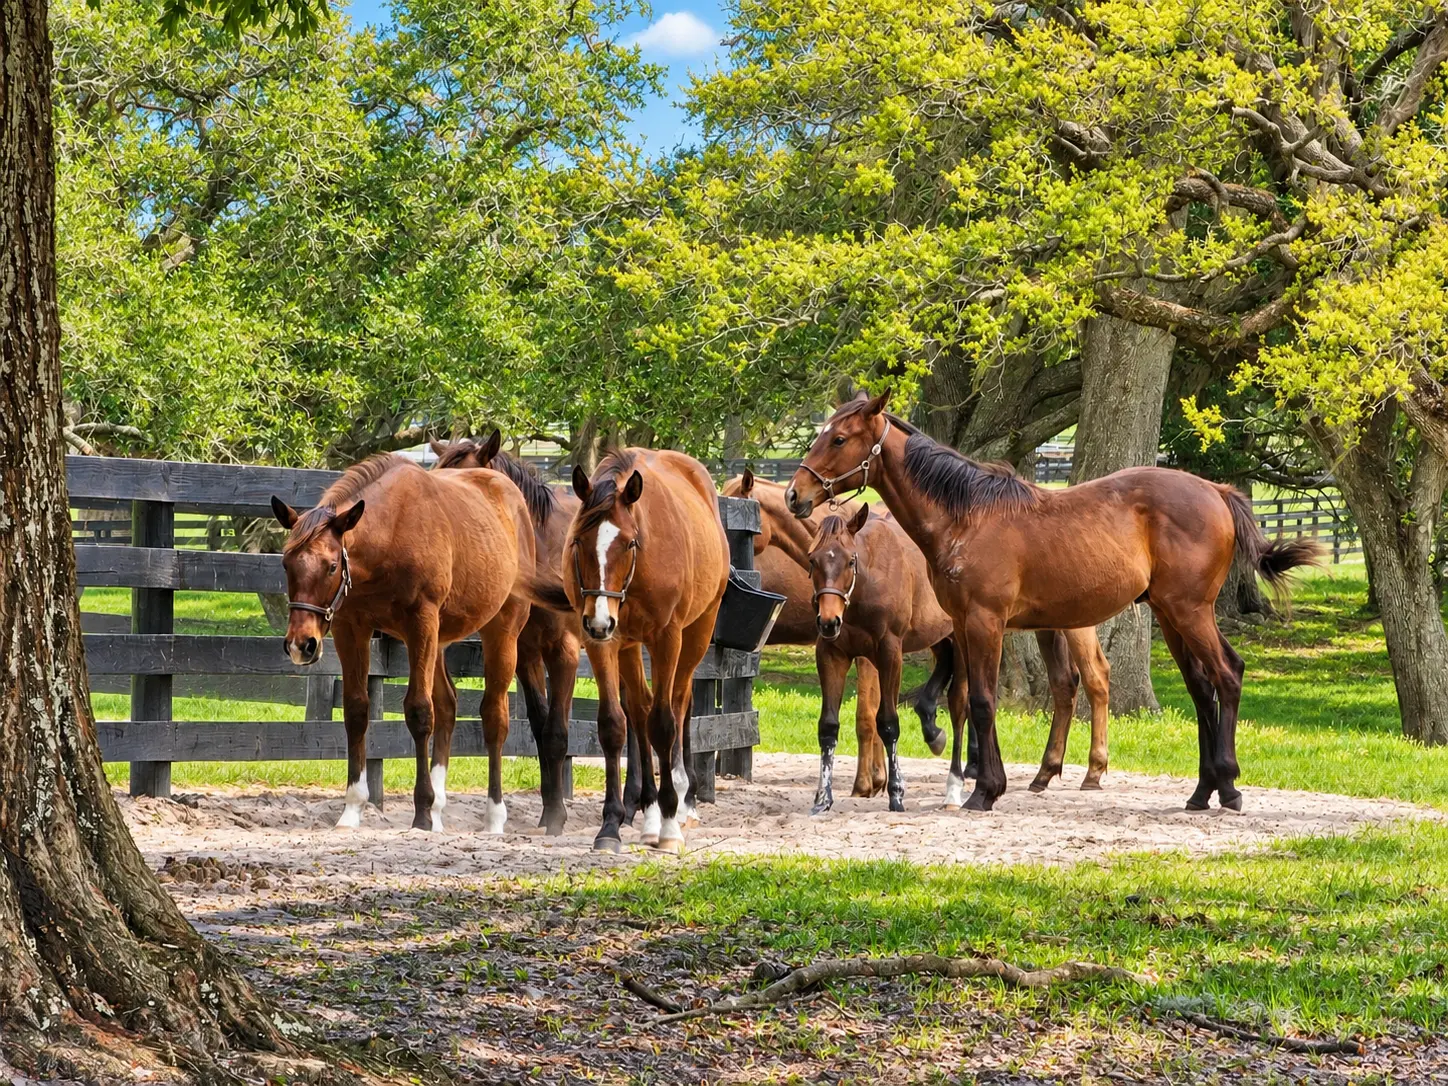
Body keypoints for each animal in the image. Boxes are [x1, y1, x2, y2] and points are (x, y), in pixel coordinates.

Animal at [272, 454, 570, 832]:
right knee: (449, 705)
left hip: (502, 630)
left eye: (331, 565)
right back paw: (444, 807)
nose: (301, 644)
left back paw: (494, 816)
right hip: (441, 639)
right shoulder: (350, 627)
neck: (391, 533)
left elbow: (418, 711)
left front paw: (423, 812)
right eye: (286, 563)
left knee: (494, 715)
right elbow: (356, 710)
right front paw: (352, 809)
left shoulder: (421, 623)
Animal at [430, 433, 582, 836]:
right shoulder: (526, 652)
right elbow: (540, 727)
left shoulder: (563, 651)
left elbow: (557, 732)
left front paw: (556, 818)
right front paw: (550, 810)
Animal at [565, 449, 729, 853]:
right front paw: (610, 825)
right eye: (578, 541)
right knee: (638, 711)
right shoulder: (603, 642)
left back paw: (682, 802)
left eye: (629, 543)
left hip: (696, 633)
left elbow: (664, 723)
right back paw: (650, 813)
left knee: (680, 702)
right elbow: (614, 725)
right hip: (626, 645)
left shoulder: (666, 638)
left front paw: (670, 825)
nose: (599, 620)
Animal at [734, 469, 1113, 804]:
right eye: (813, 562)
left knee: (1094, 678)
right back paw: (1038, 772)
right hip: (1032, 630)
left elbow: (868, 716)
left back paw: (1091, 771)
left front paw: (869, 783)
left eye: (741, 509)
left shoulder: (877, 652)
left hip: (1069, 625)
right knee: (1061, 683)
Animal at [787, 392, 1321, 812]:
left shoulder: (984, 622)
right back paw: (1200, 791)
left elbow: (982, 702)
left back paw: (1227, 787)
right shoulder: (962, 625)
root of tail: (1215, 489)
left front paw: (984, 791)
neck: (966, 517)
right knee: (1200, 687)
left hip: (1189, 613)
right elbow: (970, 700)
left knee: (1227, 675)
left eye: (839, 439)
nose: (795, 494)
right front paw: (984, 782)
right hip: (1172, 617)